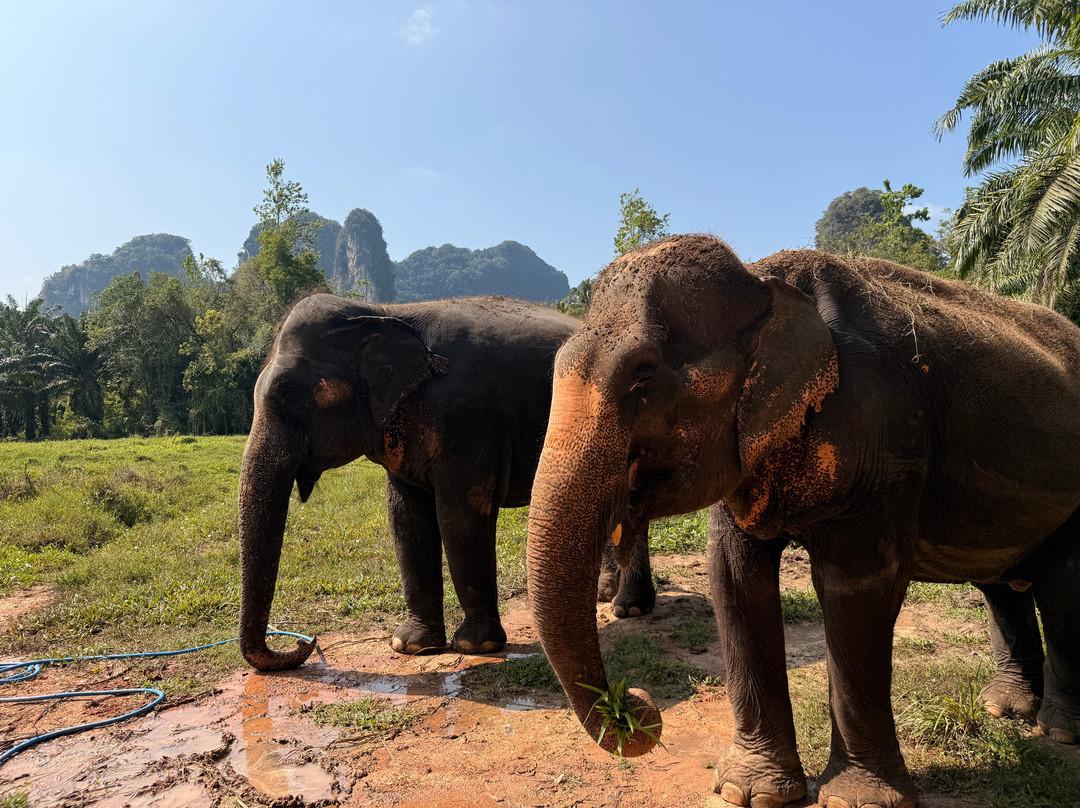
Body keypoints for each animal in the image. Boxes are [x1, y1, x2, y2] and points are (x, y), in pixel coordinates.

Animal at [238, 293, 656, 672]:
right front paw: (411, 646)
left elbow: (460, 515)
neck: (386, 312)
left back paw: (630, 608)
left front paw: (475, 646)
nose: (306, 644)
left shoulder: (467, 417)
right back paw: (606, 595)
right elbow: (407, 520)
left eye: (289, 398)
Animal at [525, 235, 1080, 808]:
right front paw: (751, 792)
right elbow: (734, 578)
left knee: (1063, 588)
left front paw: (858, 799)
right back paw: (1006, 709)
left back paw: (1059, 731)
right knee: (1001, 583)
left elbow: (854, 588)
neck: (766, 282)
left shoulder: (883, 439)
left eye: (644, 375)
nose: (636, 704)